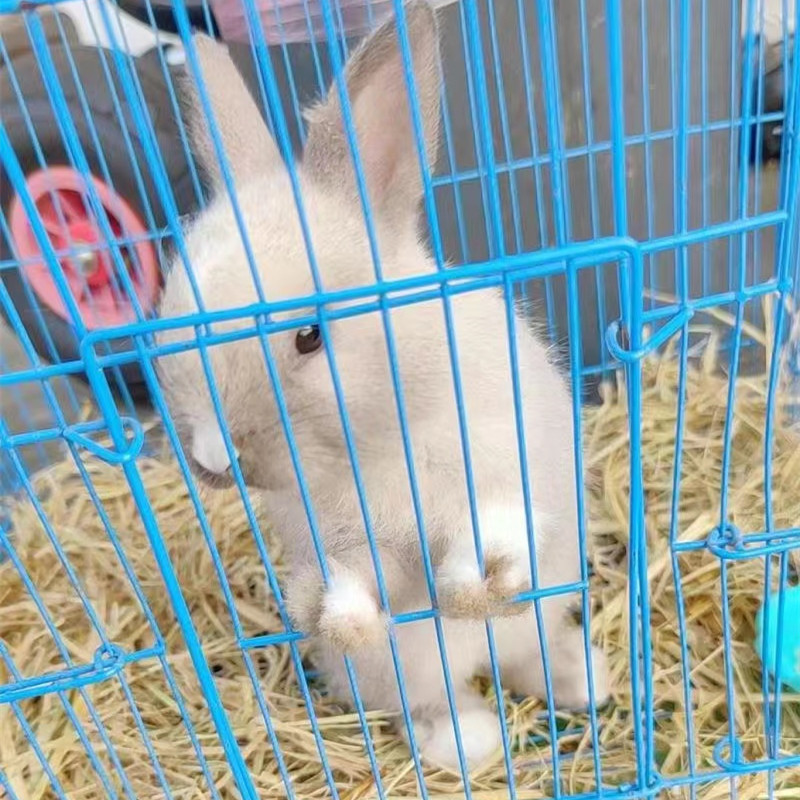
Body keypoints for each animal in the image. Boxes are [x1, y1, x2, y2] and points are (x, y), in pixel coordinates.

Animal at [155, 1, 608, 776]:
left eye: (309, 336)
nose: (214, 460)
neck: (384, 437)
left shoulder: (509, 471)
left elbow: (498, 529)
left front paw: (480, 583)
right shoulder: (346, 540)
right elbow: (368, 579)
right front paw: (339, 614)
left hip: (543, 613)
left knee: (529, 653)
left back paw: (584, 677)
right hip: (409, 674)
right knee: (438, 696)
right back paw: (466, 741)